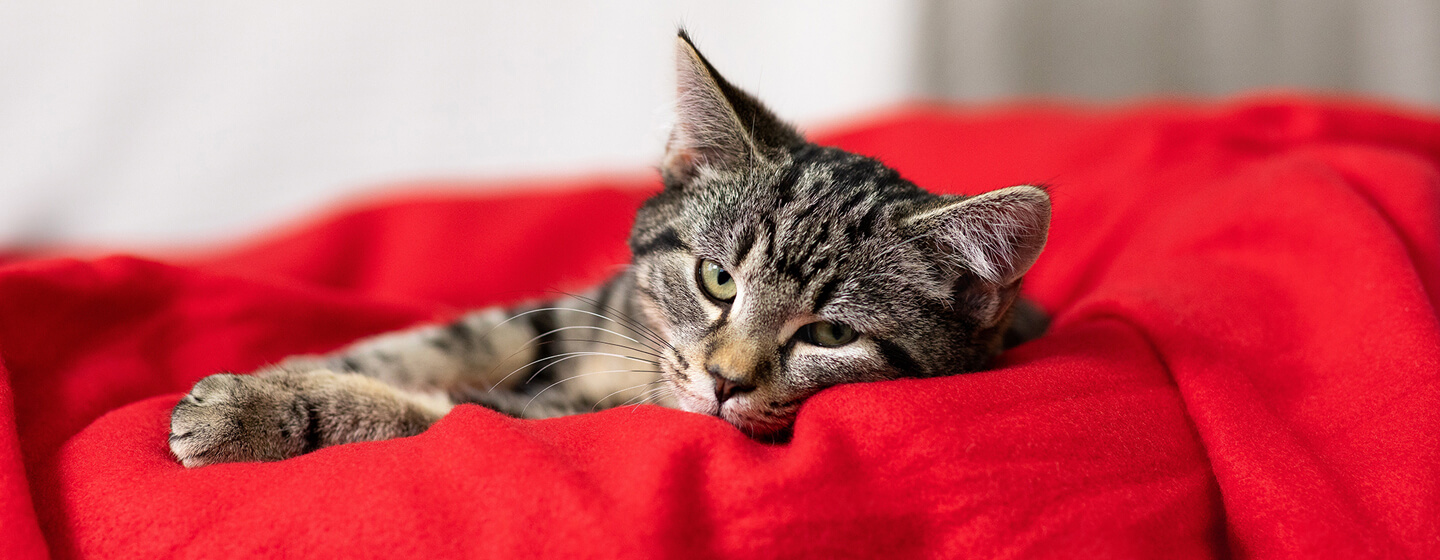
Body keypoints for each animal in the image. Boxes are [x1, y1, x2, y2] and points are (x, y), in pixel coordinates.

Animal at [168, 30, 1054, 466]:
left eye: (832, 335)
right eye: (716, 279)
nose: (724, 382)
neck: (637, 359)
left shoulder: (573, 418)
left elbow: (445, 412)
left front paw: (266, 410)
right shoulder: (560, 316)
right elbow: (428, 344)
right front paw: (290, 371)